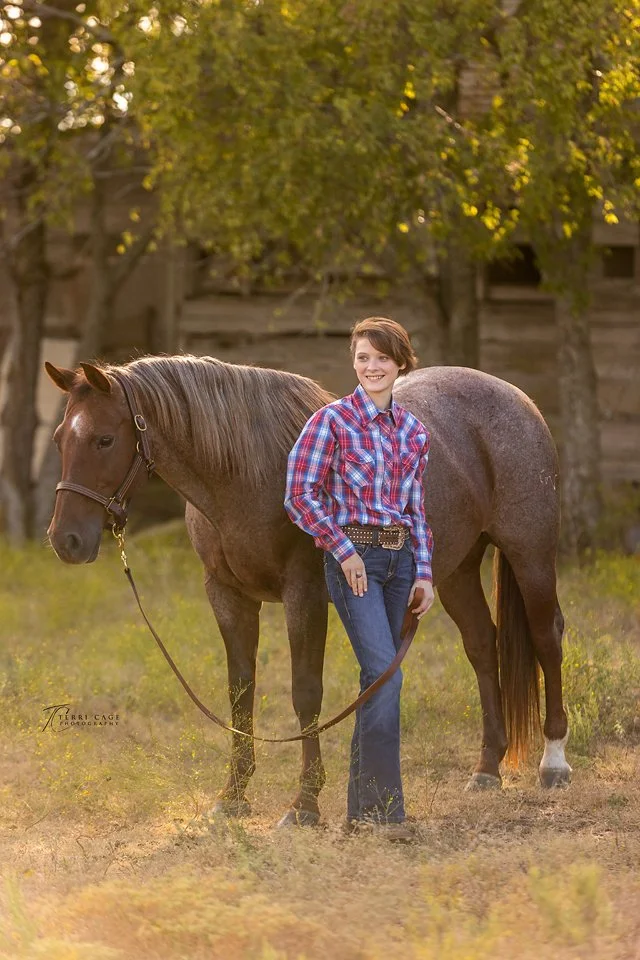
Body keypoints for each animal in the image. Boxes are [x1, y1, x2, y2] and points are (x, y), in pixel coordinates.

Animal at [45, 355, 572, 826]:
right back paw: (487, 768)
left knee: (547, 638)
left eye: (104, 439)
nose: (65, 540)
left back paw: (554, 763)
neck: (250, 471)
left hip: (530, 556)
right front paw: (232, 797)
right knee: (482, 645)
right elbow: (240, 692)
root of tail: (517, 398)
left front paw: (305, 805)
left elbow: (305, 693)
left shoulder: (305, 595)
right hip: (455, 570)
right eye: (59, 438)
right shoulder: (227, 595)